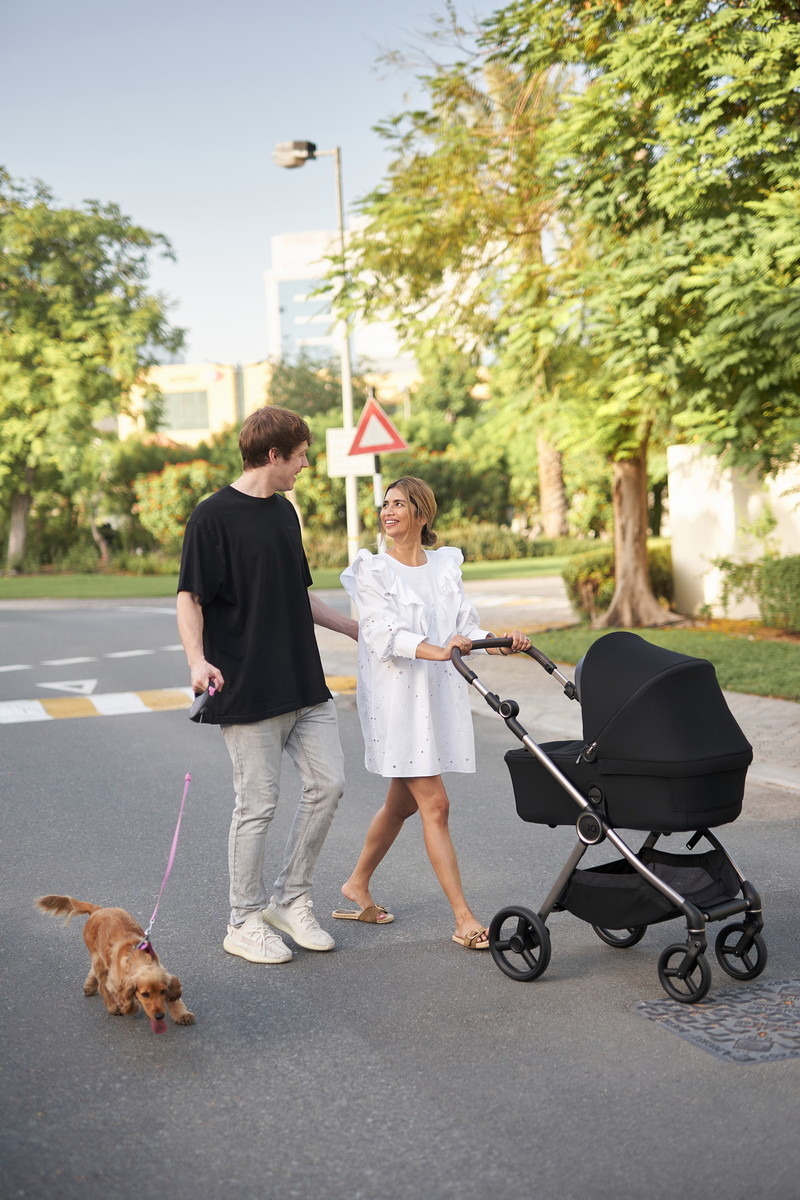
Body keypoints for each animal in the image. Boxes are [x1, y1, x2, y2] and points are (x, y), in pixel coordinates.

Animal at [36, 894, 195, 1034]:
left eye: (162, 991)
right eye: (145, 994)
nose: (159, 1016)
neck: (135, 956)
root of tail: (98, 910)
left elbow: (174, 999)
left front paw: (182, 1015)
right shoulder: (115, 982)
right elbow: (120, 996)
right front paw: (129, 1008)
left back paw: (89, 986)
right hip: (97, 958)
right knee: (101, 985)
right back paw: (112, 1006)